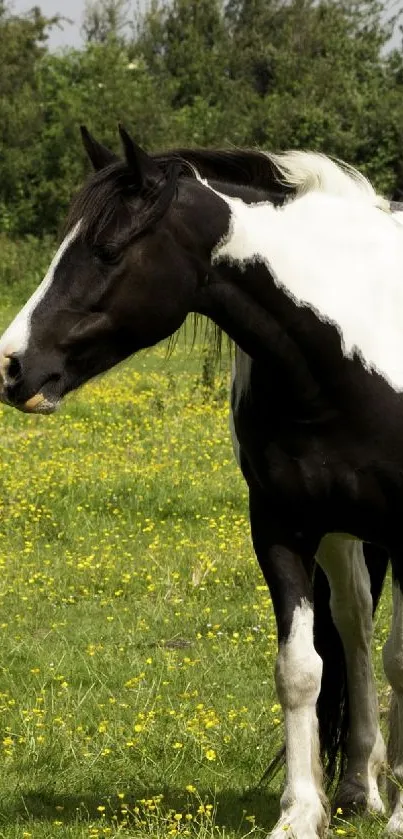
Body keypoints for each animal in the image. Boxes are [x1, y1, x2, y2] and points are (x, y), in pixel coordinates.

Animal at [0, 126, 403, 839]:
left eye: (107, 250)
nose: (12, 365)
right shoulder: (282, 527)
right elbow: (300, 670)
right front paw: (301, 814)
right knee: (354, 625)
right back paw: (360, 786)